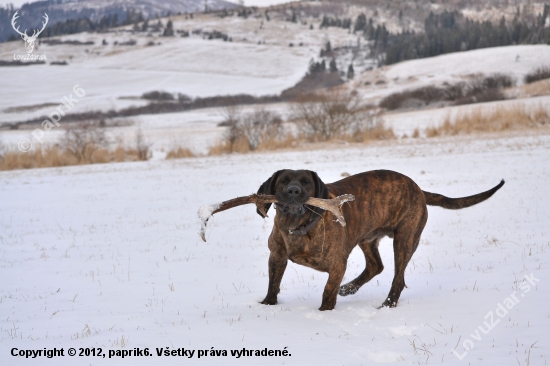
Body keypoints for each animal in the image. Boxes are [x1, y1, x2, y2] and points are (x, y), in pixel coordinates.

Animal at [256, 170, 506, 310]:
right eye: (283, 181)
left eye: (306, 182)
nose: (294, 190)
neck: (297, 228)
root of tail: (419, 189)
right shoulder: (276, 257)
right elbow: (273, 284)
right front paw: (267, 305)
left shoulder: (337, 265)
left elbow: (328, 291)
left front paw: (325, 311)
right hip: (367, 238)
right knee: (376, 266)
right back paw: (349, 288)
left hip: (404, 240)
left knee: (398, 278)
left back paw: (387, 304)